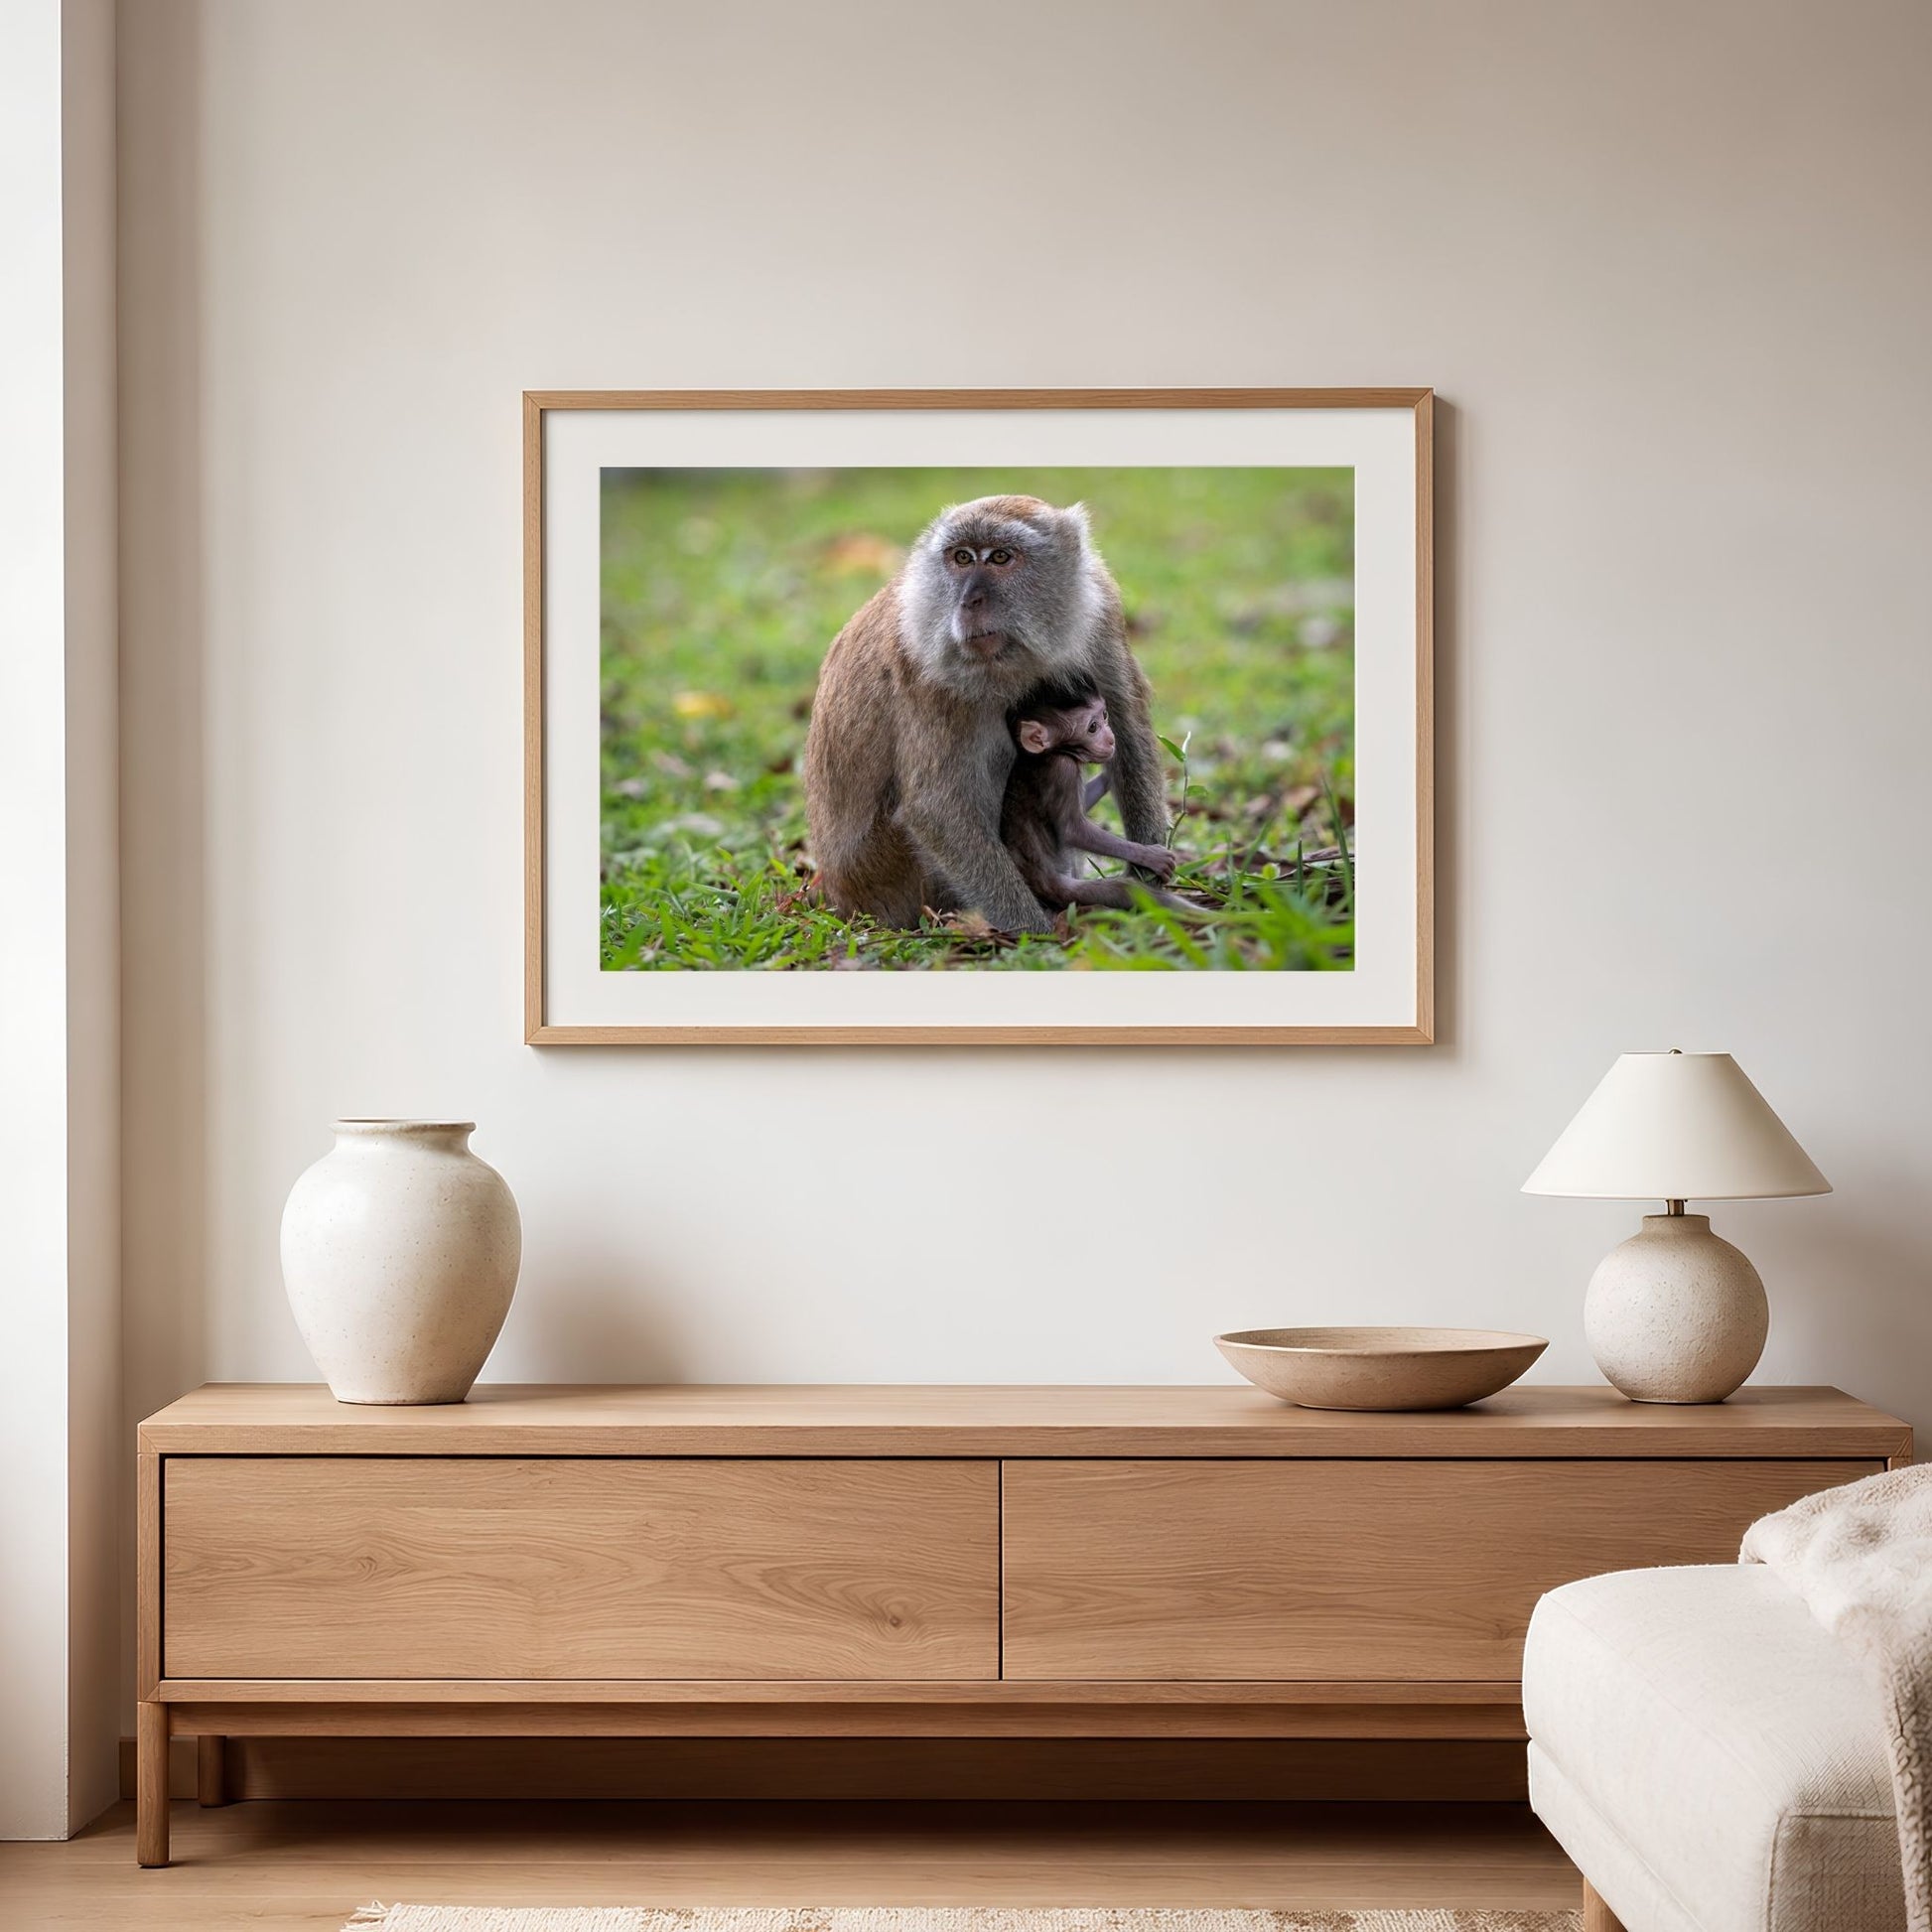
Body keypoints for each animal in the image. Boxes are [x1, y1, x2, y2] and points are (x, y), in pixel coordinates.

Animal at [803, 495, 1167, 935]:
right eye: (961, 557)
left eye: (1000, 557)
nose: (968, 602)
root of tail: (836, 895)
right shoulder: (929, 669)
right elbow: (937, 810)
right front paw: (1036, 932)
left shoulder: (1100, 611)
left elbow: (1129, 734)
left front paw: (1148, 872)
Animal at [1001, 675, 1186, 917]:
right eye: (1092, 728)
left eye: (1104, 716)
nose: (1111, 739)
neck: (1047, 754)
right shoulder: (1063, 769)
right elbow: (1072, 830)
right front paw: (1148, 855)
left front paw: (1110, 774)